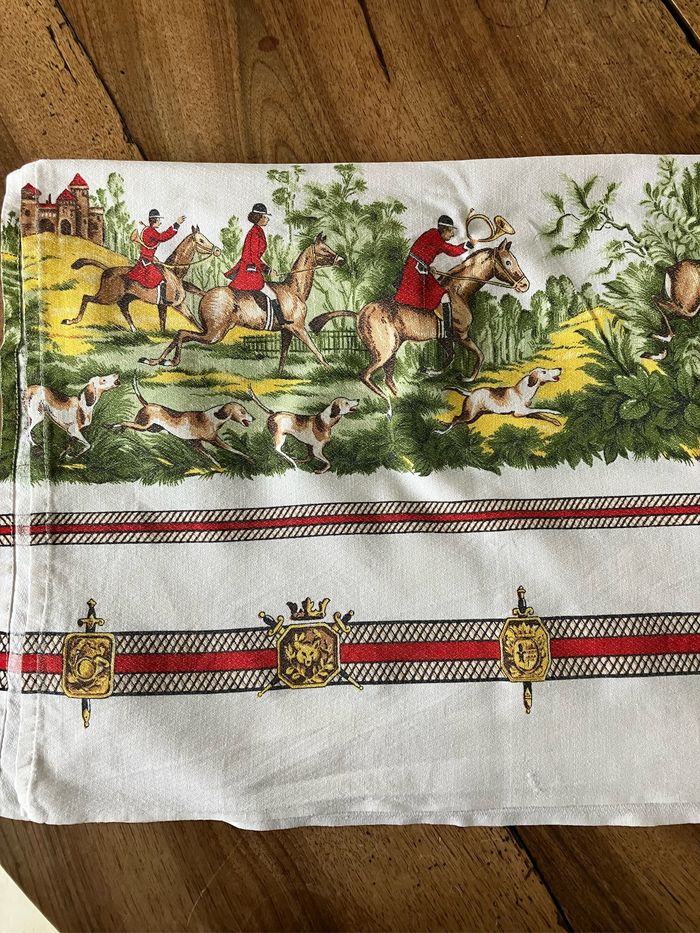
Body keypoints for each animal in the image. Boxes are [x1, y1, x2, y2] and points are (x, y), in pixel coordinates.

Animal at [63, 226, 220, 333]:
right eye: (201, 240)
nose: (217, 250)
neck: (175, 273)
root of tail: (107, 269)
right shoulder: (168, 304)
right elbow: (164, 320)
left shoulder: (178, 304)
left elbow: (192, 319)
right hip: (108, 296)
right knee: (86, 298)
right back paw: (71, 320)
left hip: (126, 298)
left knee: (124, 309)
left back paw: (133, 329)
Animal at [140, 233, 344, 370]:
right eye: (325, 250)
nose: (342, 260)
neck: (294, 289)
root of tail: (207, 294)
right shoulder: (298, 328)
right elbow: (316, 350)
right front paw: (329, 369)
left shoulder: (287, 331)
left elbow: (283, 356)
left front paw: (279, 374)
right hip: (215, 333)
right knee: (183, 333)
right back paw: (170, 361)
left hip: (212, 330)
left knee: (180, 334)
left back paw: (159, 360)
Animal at [309, 239, 529, 407]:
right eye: (508, 262)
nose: (525, 285)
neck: (458, 291)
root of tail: (360, 313)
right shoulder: (462, 336)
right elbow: (479, 355)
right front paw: (469, 378)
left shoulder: (445, 338)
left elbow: (450, 357)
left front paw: (429, 371)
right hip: (384, 351)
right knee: (366, 375)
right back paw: (385, 399)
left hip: (392, 351)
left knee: (388, 378)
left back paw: (398, 398)